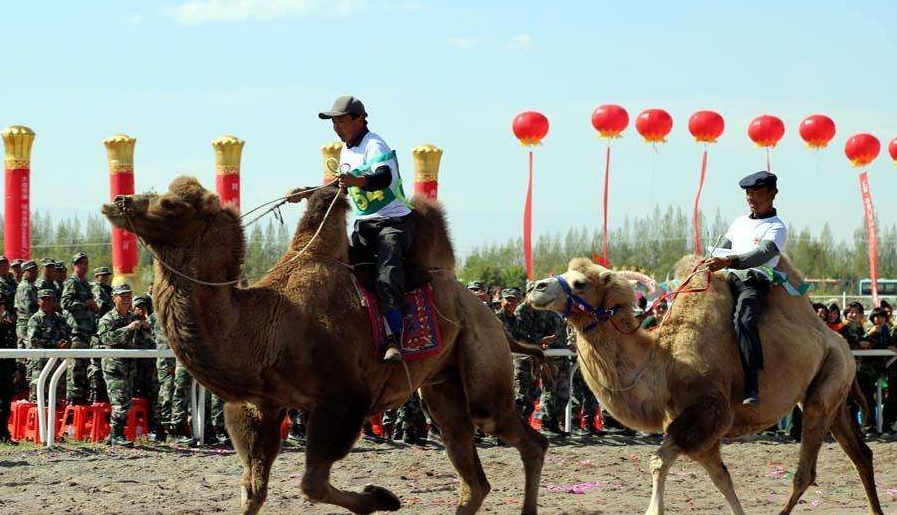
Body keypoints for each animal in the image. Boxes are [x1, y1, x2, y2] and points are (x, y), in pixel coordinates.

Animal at [101, 176, 548, 515]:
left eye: (170, 204)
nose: (118, 200)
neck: (264, 326)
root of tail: (487, 312)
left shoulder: (343, 399)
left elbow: (312, 483)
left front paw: (381, 498)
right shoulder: (260, 405)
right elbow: (253, 490)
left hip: (482, 364)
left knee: (524, 438)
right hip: (441, 386)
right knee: (471, 471)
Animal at [528, 256, 883, 515]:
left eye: (580, 283)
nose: (535, 287)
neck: (664, 362)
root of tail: (836, 339)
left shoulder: (708, 412)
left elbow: (659, 461)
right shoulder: (698, 428)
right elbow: (722, 479)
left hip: (827, 384)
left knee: (806, 473)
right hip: (832, 393)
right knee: (861, 454)